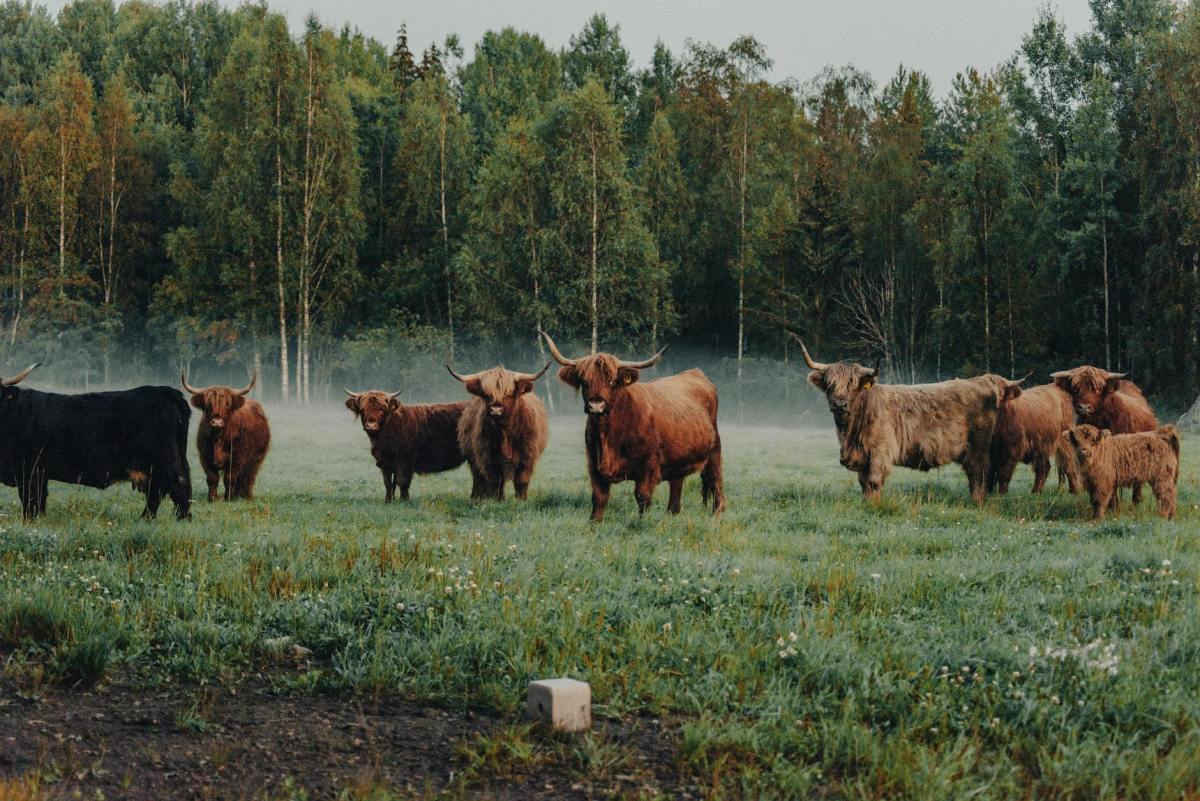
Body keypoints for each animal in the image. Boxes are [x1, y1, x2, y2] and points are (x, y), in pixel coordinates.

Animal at [0, 364, 191, 519]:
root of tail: (168, 392)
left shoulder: (28, 470)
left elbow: (30, 501)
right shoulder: (39, 474)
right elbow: (40, 501)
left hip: (164, 462)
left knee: (178, 488)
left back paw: (180, 521)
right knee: (159, 493)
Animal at [181, 372, 270, 502]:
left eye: (227, 405)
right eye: (208, 405)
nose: (217, 422)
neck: (218, 438)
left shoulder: (237, 458)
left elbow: (229, 478)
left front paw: (228, 498)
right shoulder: (205, 456)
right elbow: (212, 477)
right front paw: (212, 498)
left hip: (256, 459)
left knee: (248, 476)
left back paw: (246, 496)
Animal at [447, 363, 550, 500]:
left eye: (509, 393)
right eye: (486, 394)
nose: (496, 410)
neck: (505, 432)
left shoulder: (527, 457)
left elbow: (521, 481)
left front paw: (521, 500)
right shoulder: (488, 458)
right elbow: (497, 482)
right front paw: (498, 500)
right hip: (473, 459)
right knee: (478, 478)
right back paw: (477, 497)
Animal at [541, 331, 725, 522]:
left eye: (612, 381)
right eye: (584, 381)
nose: (596, 405)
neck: (609, 435)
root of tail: (696, 373)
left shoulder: (648, 467)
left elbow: (642, 497)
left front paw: (642, 522)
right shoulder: (594, 465)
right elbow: (599, 497)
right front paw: (594, 522)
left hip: (714, 450)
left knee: (715, 480)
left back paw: (717, 513)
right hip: (679, 458)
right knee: (677, 486)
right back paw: (672, 514)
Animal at [799, 341, 1004, 504]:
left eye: (853, 384)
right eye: (830, 384)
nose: (839, 404)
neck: (850, 431)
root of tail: (982, 381)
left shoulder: (880, 452)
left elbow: (874, 482)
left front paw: (874, 505)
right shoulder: (862, 456)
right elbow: (863, 483)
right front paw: (866, 503)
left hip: (977, 448)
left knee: (978, 474)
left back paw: (976, 503)